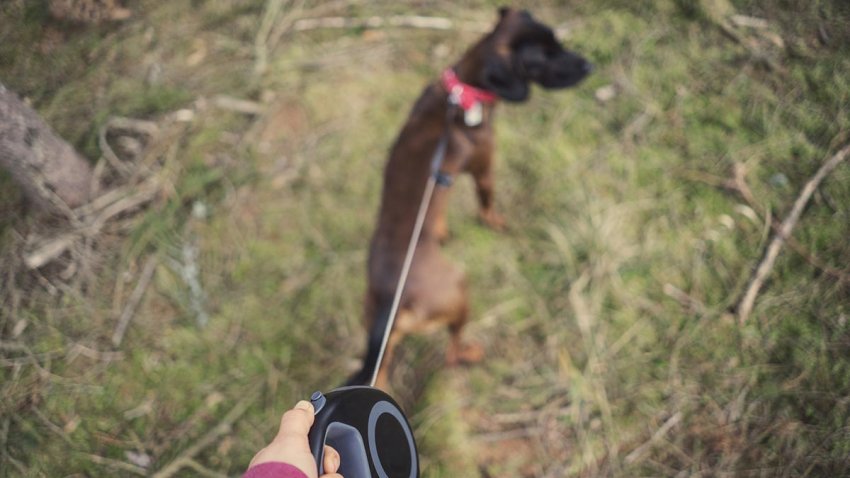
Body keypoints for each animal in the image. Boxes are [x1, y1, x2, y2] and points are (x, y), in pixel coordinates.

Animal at [344, 7, 588, 388]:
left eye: (557, 42)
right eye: (543, 58)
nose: (588, 65)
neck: (462, 93)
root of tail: (390, 307)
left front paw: (443, 232)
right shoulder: (484, 170)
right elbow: (488, 206)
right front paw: (498, 224)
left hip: (378, 333)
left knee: (380, 372)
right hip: (460, 294)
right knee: (452, 351)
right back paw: (469, 353)